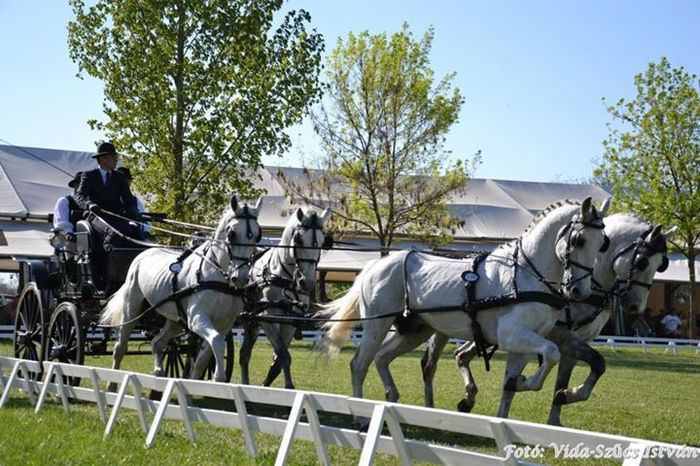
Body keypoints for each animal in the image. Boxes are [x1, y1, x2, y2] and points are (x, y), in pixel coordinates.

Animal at [100, 196, 262, 382]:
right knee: (120, 348)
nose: (240, 278)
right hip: (132, 311)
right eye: (232, 234)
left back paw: (159, 373)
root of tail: (142, 254)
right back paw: (113, 382)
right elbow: (216, 341)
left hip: (175, 321)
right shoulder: (196, 318)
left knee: (157, 343)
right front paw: (218, 377)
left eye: (257, 235)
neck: (217, 276)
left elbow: (203, 358)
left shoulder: (224, 325)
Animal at [239, 209, 330, 388]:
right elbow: (283, 353)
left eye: (323, 241)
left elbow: (278, 359)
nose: (306, 282)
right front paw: (289, 386)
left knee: (244, 354)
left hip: (251, 323)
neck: (282, 275)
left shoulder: (290, 321)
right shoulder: (267, 318)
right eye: (299, 240)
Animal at [316, 197, 608, 412]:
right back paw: (360, 413)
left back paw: (392, 396)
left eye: (602, 245)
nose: (579, 291)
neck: (526, 273)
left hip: (414, 331)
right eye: (579, 240)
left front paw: (521, 386)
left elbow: (510, 387)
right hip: (376, 325)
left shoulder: (524, 342)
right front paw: (533, 384)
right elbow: (552, 353)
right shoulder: (511, 335)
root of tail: (376, 264)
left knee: (382, 357)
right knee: (359, 364)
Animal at [380, 213, 676, 424]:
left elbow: (586, 369)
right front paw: (561, 399)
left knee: (458, 356)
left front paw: (560, 406)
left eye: (661, 264)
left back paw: (464, 399)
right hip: (441, 328)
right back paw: (434, 406)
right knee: (431, 364)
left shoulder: (574, 340)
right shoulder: (561, 336)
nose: (636, 306)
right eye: (642, 262)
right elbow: (590, 365)